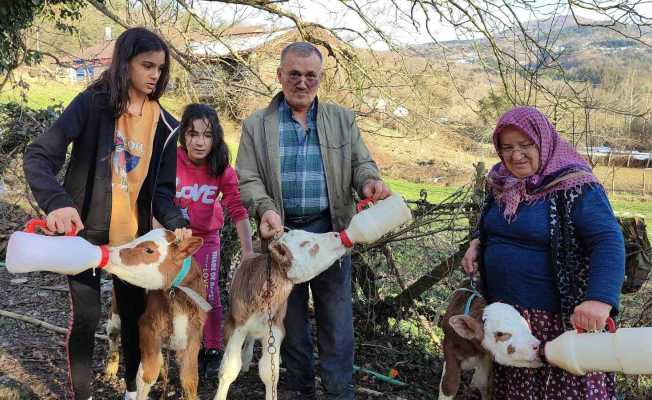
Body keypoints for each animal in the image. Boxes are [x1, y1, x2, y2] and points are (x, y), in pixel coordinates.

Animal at [101, 230, 206, 400]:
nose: (108, 251)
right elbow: (147, 375)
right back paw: (111, 368)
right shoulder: (148, 326)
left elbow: (190, 379)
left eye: (149, 250)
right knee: (113, 334)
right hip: (116, 310)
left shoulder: (194, 334)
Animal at [214, 230, 346, 400]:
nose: (336, 234)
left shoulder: (276, 327)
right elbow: (229, 368)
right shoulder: (235, 324)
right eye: (305, 243)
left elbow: (269, 371)